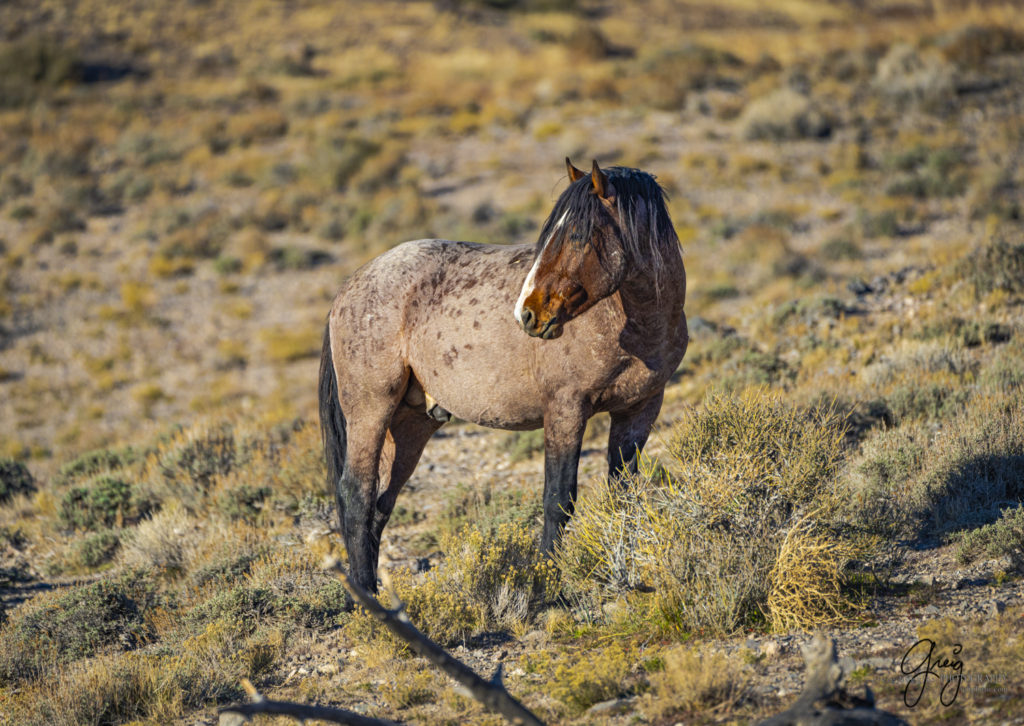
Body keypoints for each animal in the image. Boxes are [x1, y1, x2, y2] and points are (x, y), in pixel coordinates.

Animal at [319, 156, 688, 589]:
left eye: (578, 234)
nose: (527, 313)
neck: (632, 325)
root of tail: (352, 284)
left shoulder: (639, 411)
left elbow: (623, 496)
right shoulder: (566, 411)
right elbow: (558, 499)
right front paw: (547, 582)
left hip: (410, 424)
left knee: (378, 507)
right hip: (370, 413)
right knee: (355, 496)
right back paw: (366, 596)